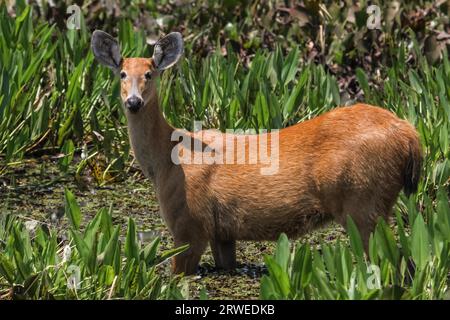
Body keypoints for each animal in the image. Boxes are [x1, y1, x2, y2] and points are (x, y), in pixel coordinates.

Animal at [90, 30, 422, 276]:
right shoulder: (222, 232)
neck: (166, 161)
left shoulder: (188, 223)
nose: (133, 102)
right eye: (121, 74)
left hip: (363, 200)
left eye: (149, 74)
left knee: (393, 262)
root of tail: (410, 135)